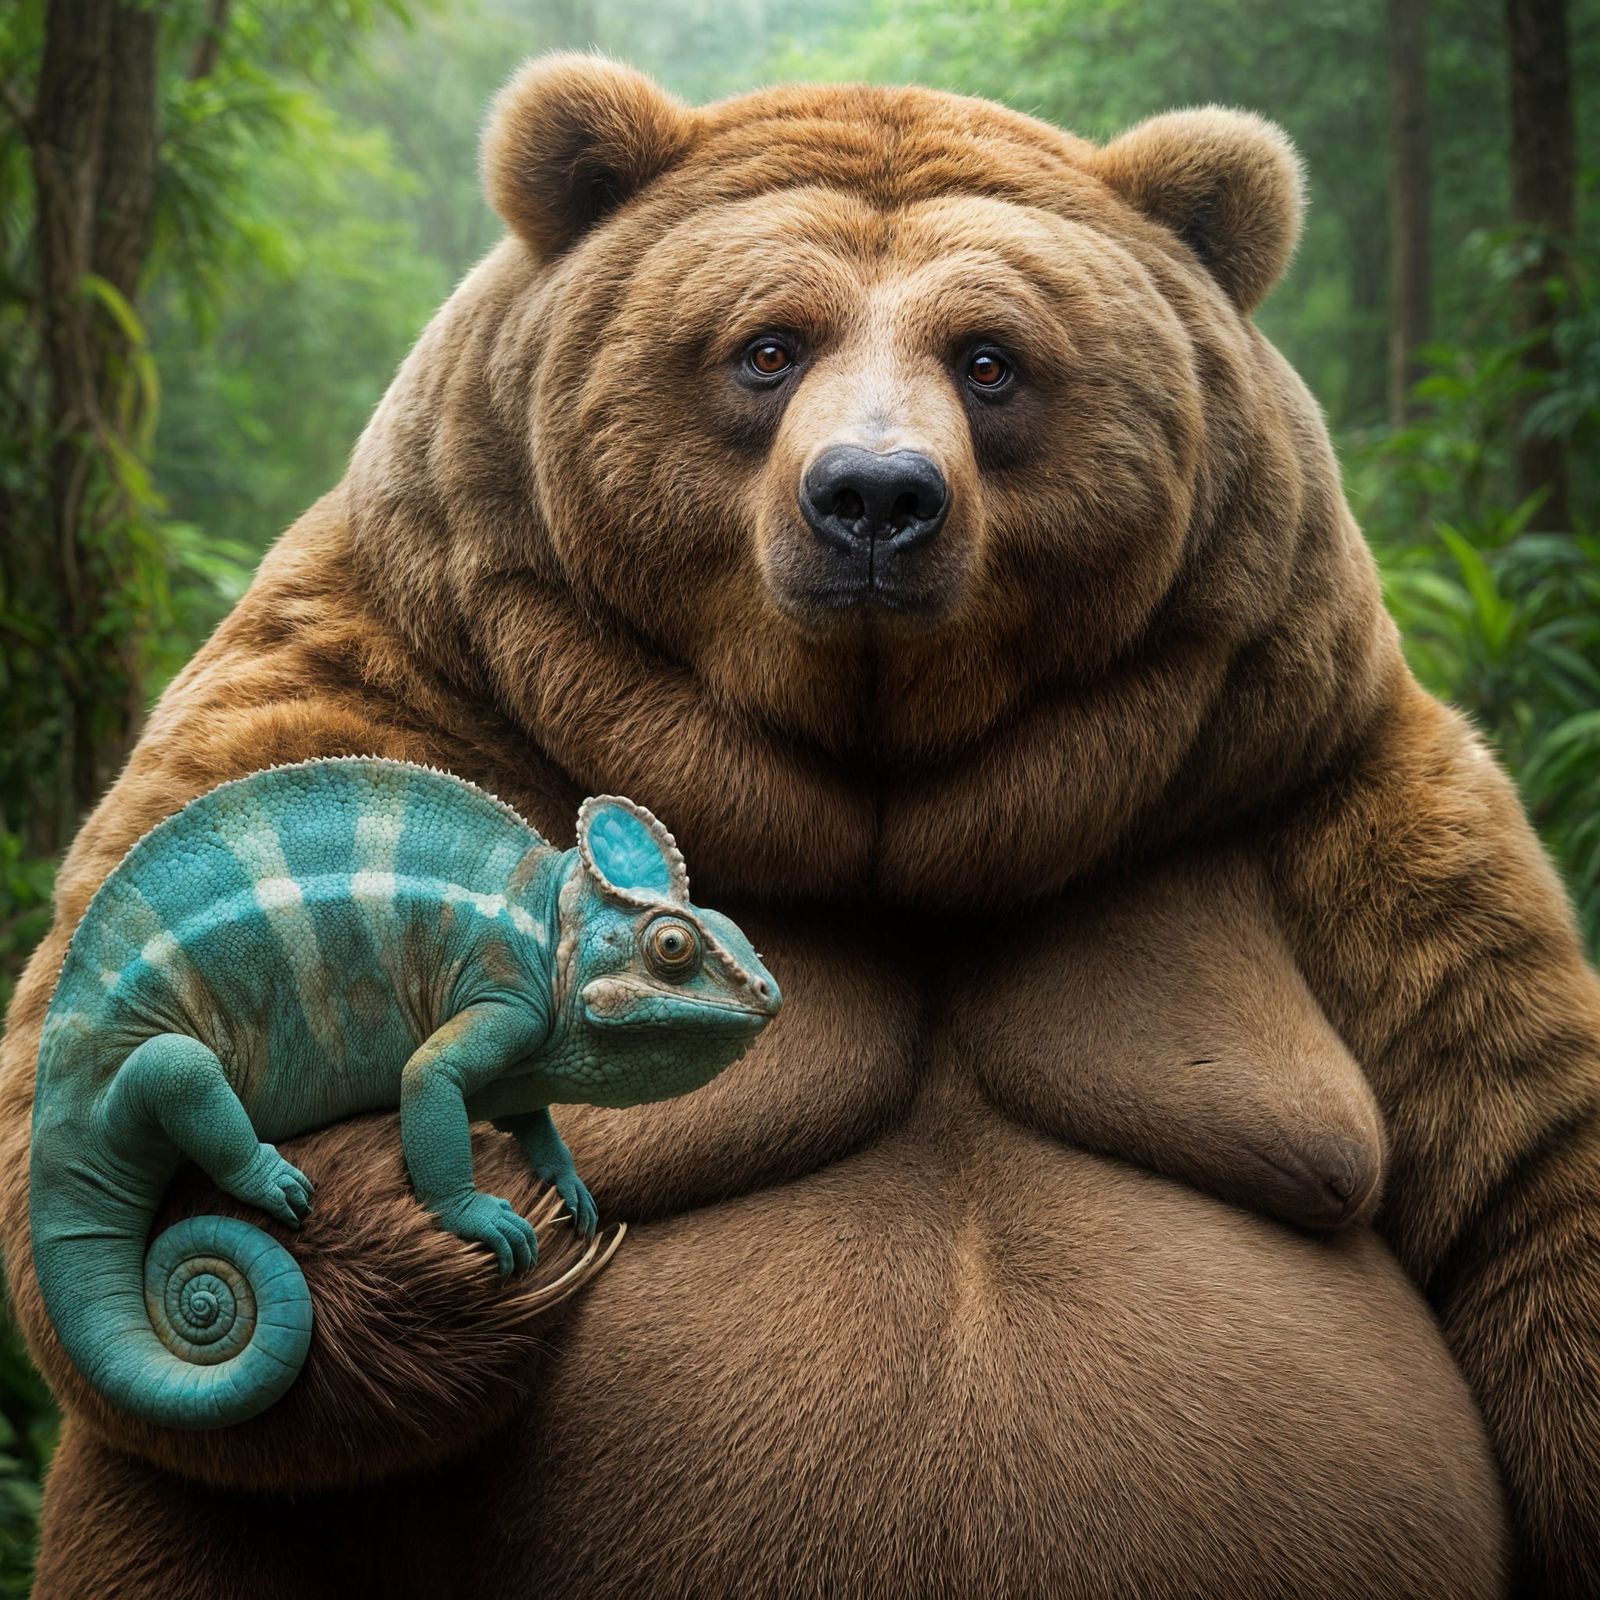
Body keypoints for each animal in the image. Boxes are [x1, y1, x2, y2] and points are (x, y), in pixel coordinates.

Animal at [3, 52, 1599, 1597]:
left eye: (990, 359)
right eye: (766, 347)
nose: (875, 498)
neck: (883, 810)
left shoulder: (1314, 775)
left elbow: (1528, 1161)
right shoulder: (388, 666)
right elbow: (68, 1117)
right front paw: (454, 1227)